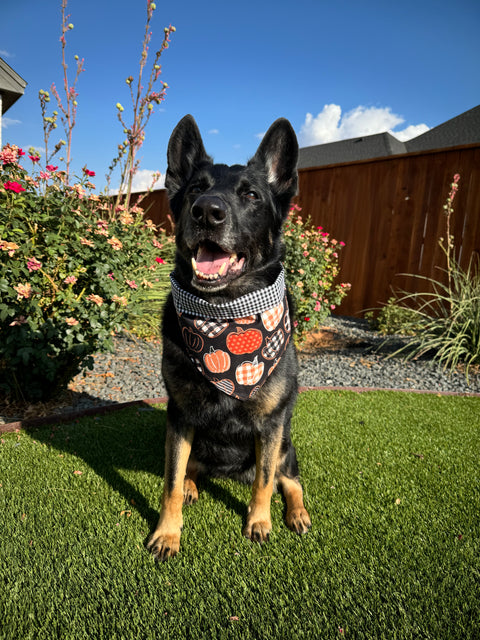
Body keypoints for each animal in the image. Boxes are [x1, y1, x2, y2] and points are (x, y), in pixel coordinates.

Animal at [146, 115, 312, 560]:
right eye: (195, 190)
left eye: (251, 195)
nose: (207, 211)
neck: (224, 313)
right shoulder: (179, 417)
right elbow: (169, 482)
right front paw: (168, 533)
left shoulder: (271, 425)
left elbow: (265, 482)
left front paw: (259, 522)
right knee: (190, 469)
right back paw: (192, 485)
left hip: (287, 443)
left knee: (289, 480)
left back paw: (296, 512)